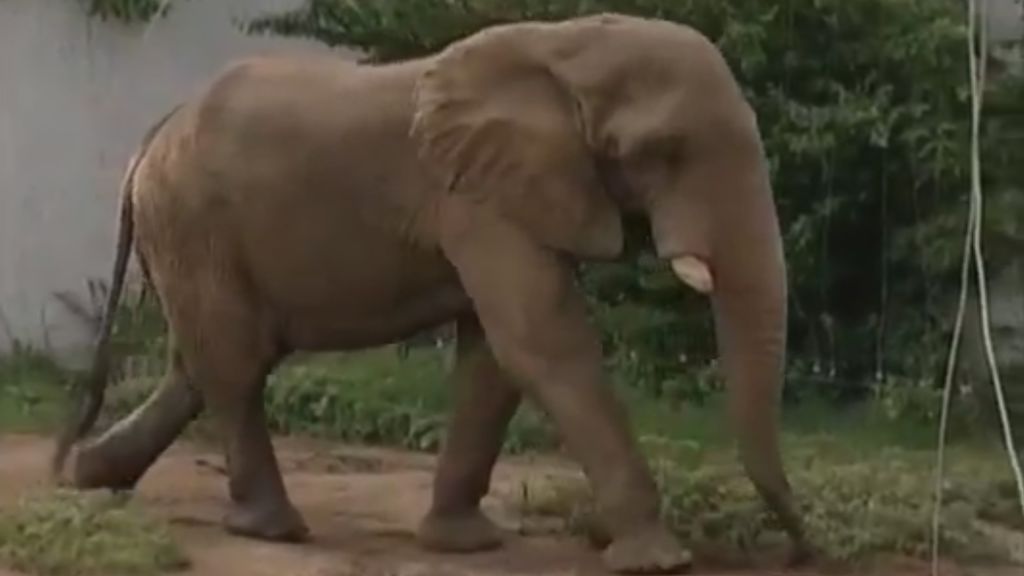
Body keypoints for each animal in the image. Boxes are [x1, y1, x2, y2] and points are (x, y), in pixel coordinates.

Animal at [51, 12, 809, 574]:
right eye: (664, 153)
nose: (799, 552)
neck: (565, 43)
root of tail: (151, 138)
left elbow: (495, 358)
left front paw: (464, 545)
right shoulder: (475, 199)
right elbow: (542, 341)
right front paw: (659, 559)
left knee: (200, 364)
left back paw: (86, 477)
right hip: (192, 219)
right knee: (236, 365)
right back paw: (273, 530)